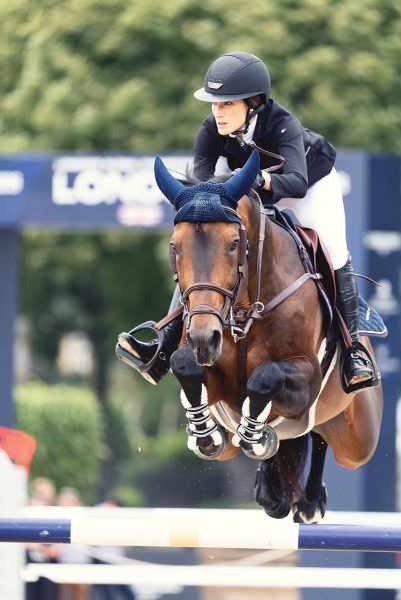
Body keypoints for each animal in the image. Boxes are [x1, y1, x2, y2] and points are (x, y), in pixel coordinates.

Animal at [152, 149, 382, 520]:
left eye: (234, 244)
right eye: (175, 247)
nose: (205, 338)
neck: (246, 307)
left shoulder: (305, 380)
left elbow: (265, 377)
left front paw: (255, 436)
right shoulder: (216, 379)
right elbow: (184, 363)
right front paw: (206, 435)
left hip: (358, 438)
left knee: (319, 434)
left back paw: (309, 499)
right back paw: (272, 491)